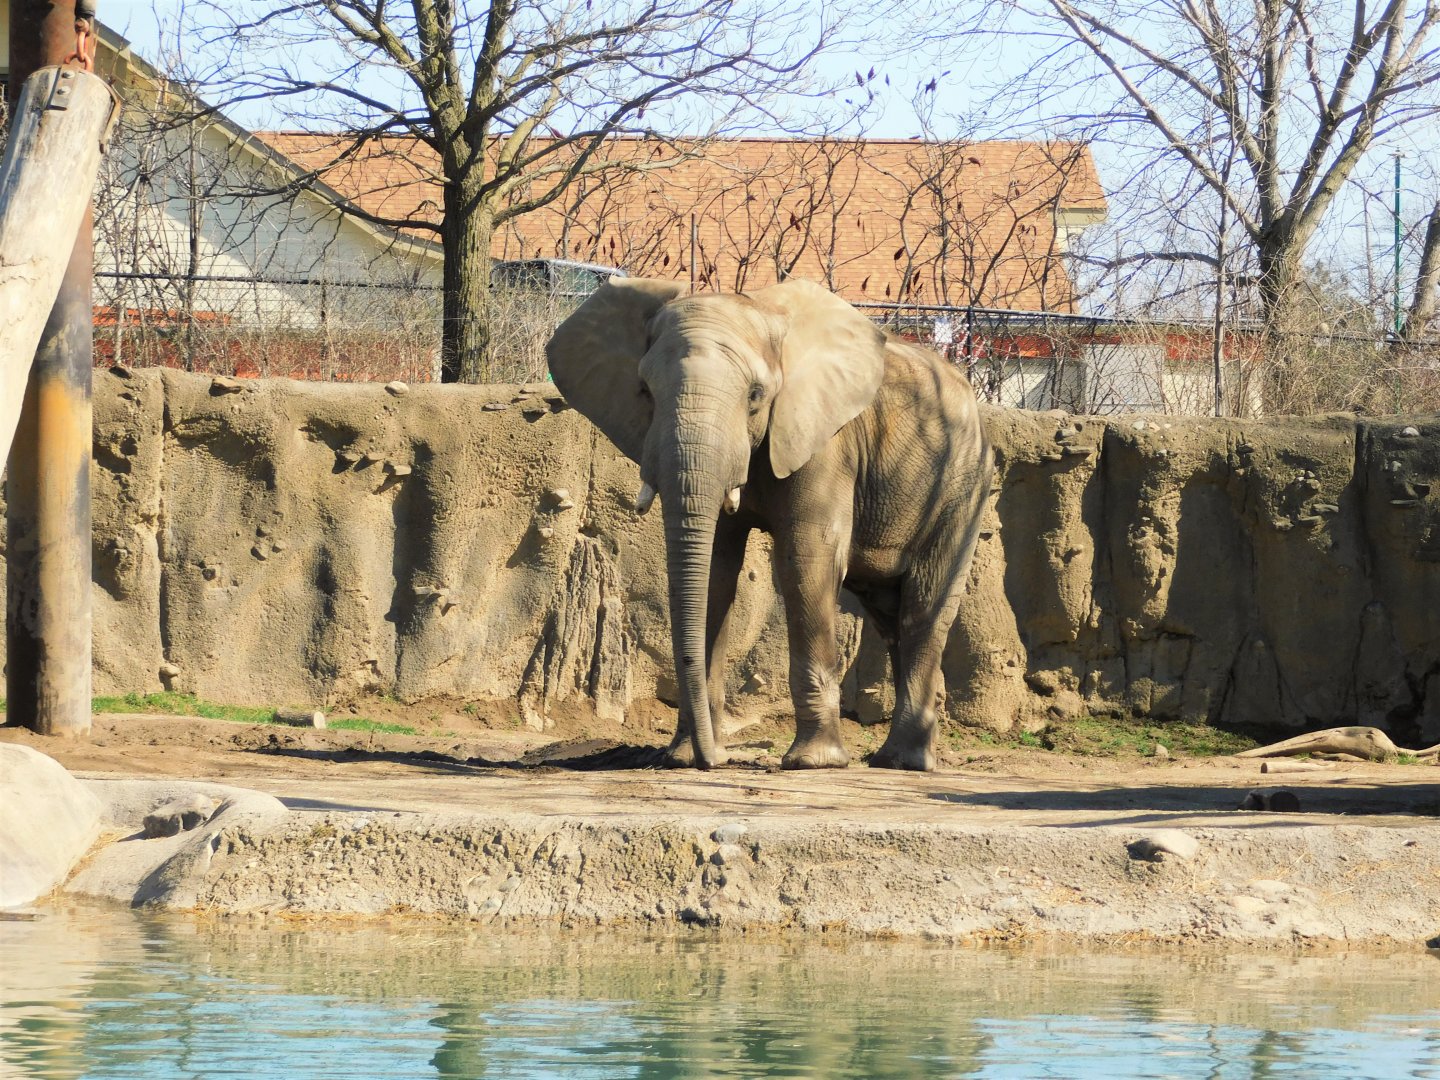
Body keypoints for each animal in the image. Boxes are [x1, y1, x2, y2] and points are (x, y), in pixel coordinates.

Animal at [546, 277, 993, 771]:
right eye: (645, 391)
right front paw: (683, 756)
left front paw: (814, 763)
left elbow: (806, 560)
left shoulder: (824, 440)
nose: (712, 761)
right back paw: (889, 758)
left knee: (924, 605)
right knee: (889, 614)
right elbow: (716, 571)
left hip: (962, 484)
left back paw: (904, 763)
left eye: (756, 395)